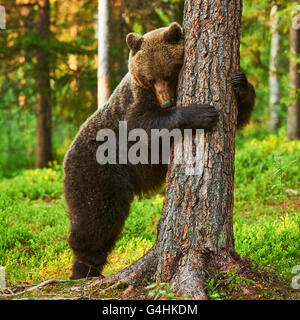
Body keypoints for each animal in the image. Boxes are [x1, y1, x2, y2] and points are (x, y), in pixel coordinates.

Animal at [63, 22, 255, 278]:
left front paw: (240, 83)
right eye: (150, 78)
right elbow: (143, 125)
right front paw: (201, 113)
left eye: (169, 73)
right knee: (99, 212)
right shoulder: (133, 104)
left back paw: (86, 270)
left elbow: (238, 113)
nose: (167, 102)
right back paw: (86, 255)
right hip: (98, 168)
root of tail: (65, 159)